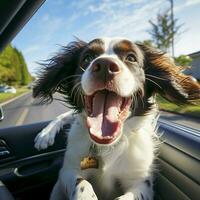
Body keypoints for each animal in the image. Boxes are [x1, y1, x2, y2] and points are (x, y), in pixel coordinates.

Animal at [32, 37, 200, 198]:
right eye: (87, 58)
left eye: (131, 57)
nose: (104, 65)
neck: (108, 145)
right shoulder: (68, 170)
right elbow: (82, 184)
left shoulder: (141, 182)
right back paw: (44, 135)